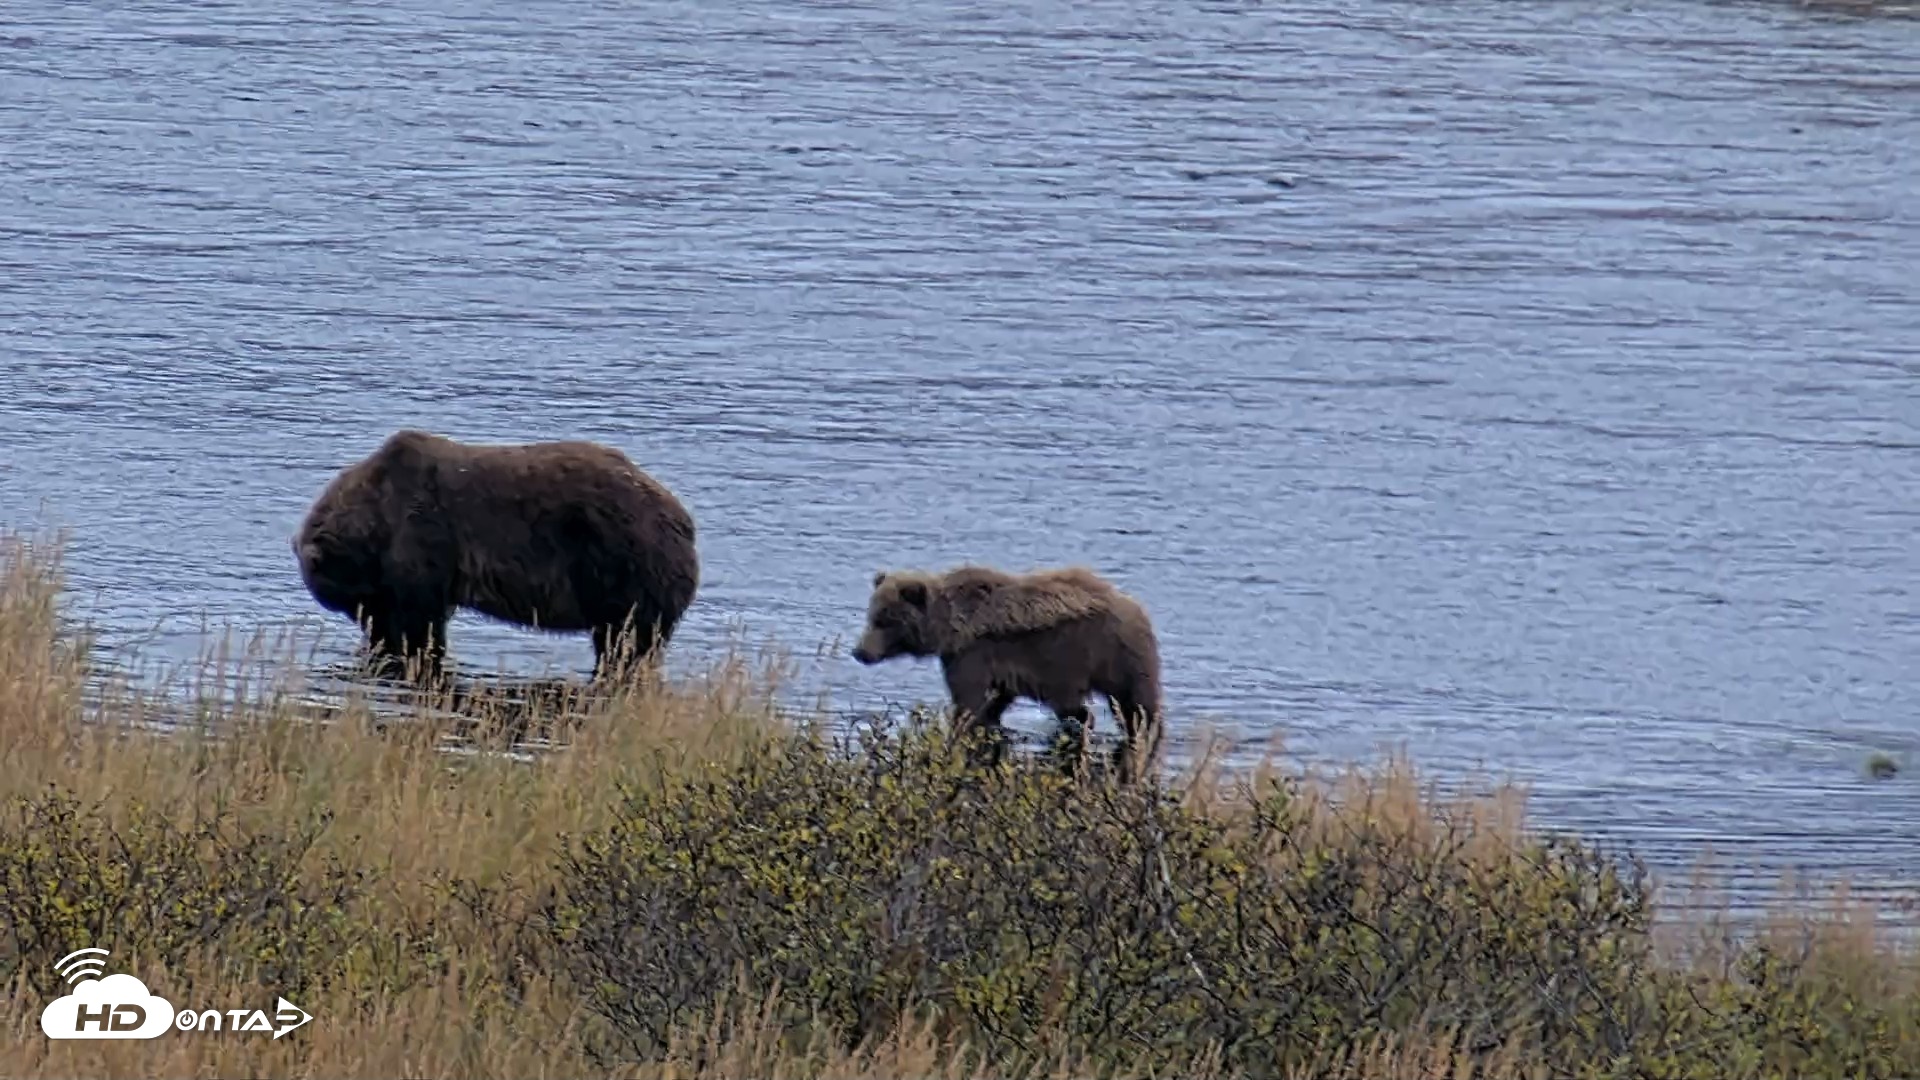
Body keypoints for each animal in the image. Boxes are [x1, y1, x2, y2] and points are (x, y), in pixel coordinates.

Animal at [292, 429, 699, 680]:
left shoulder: (422, 540)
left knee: (628, 641)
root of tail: (682, 519)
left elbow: (422, 621)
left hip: (625, 566)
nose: (373, 632)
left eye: (355, 601)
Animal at [851, 564, 1165, 783]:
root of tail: (1137, 607)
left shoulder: (971, 656)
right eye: (872, 615)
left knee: (1137, 705)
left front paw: (960, 726)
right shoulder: (997, 670)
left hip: (1107, 656)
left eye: (886, 620)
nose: (860, 652)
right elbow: (995, 702)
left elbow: (968, 701)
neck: (948, 626)